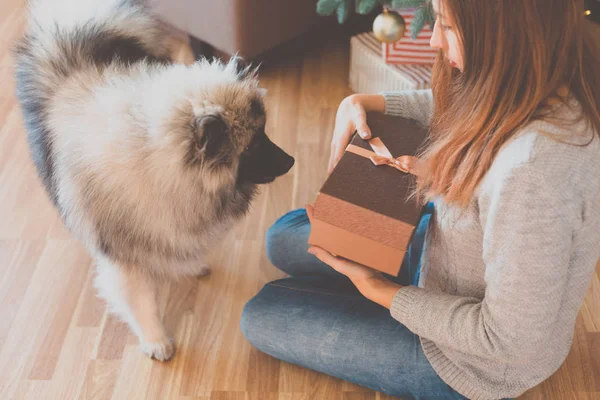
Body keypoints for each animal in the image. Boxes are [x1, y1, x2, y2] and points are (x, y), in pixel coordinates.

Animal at [12, 0, 294, 360]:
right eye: (255, 143)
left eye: (265, 132)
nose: (291, 160)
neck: (152, 160)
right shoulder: (125, 256)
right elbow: (141, 301)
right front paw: (156, 339)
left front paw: (192, 265)